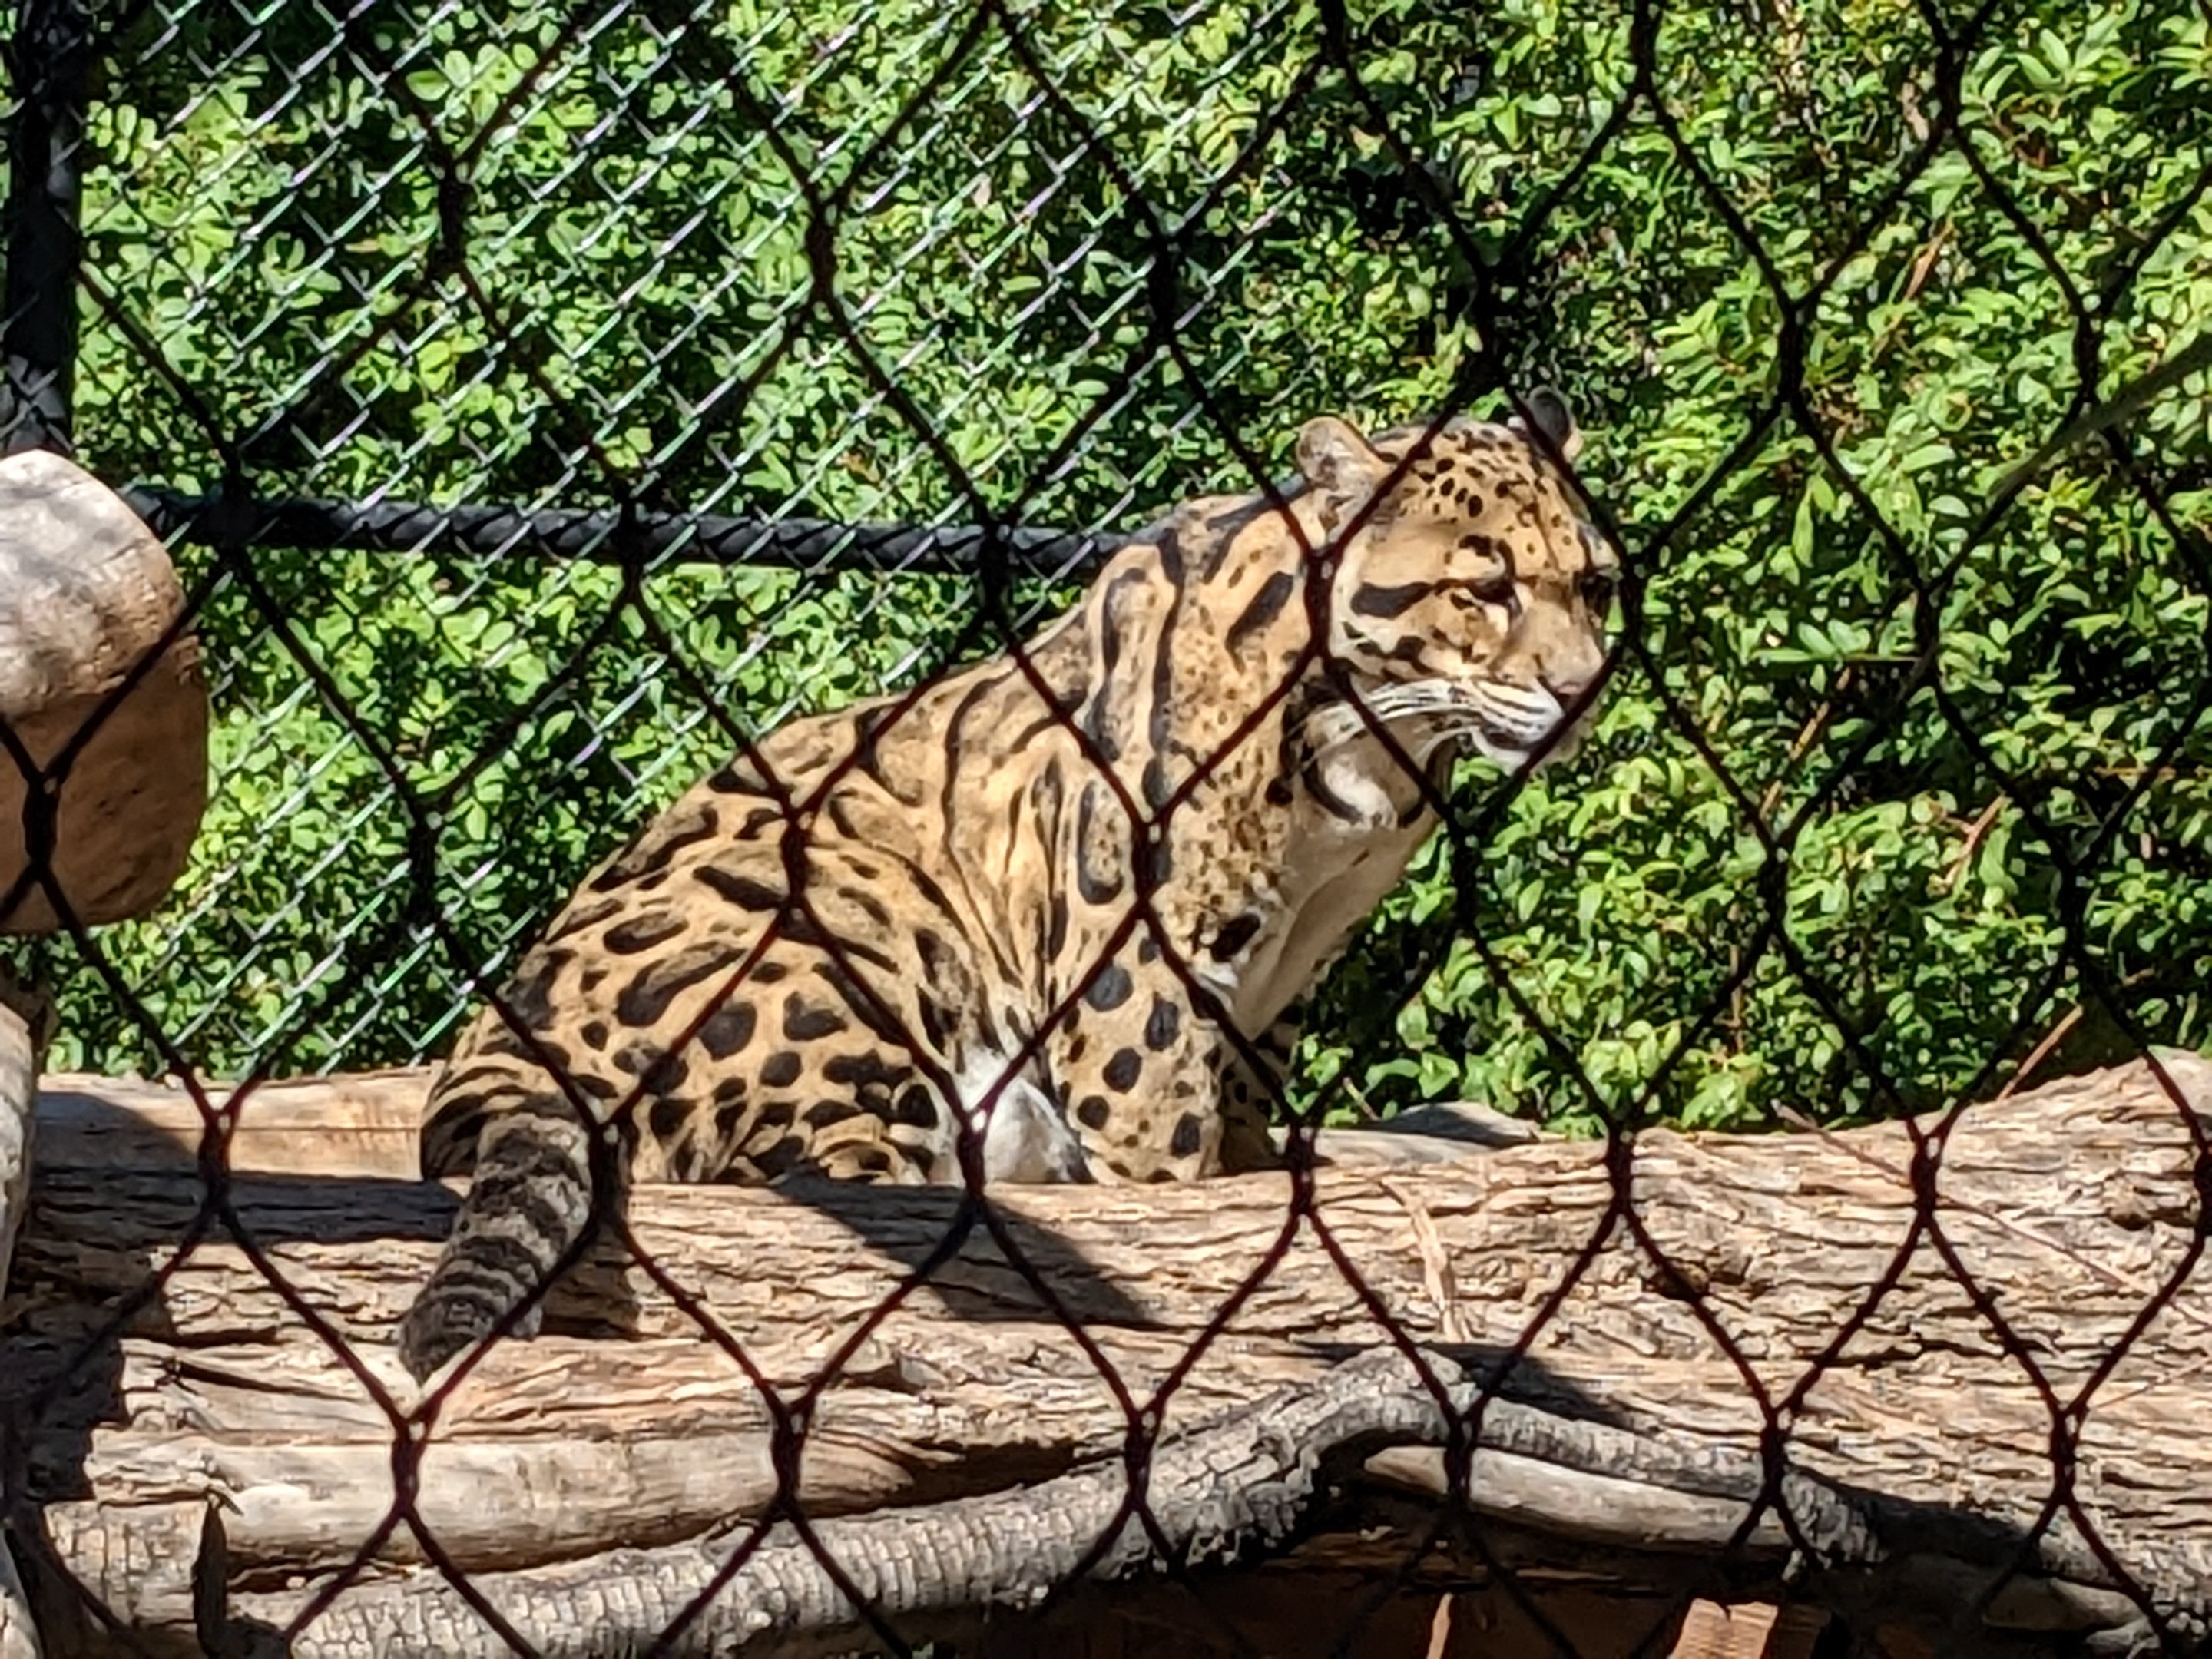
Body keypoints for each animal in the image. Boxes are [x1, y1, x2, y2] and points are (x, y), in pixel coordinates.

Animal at [396, 394, 1616, 1379]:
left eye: (1595, 583)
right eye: (1485, 587)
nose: (1585, 686)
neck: (1372, 755)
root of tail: (487, 1060)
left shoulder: (1286, 963)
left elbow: (1238, 1107)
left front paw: (1257, 1171)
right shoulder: (1138, 957)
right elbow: (1163, 1132)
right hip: (852, 927)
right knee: (827, 1175)